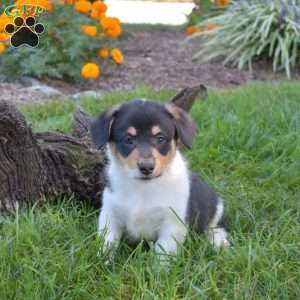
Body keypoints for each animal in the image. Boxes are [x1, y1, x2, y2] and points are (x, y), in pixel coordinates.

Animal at [90, 99, 229, 262]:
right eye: (128, 140)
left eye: (160, 139)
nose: (146, 167)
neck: (143, 187)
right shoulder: (110, 214)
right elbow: (107, 243)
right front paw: (103, 262)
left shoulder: (172, 223)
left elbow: (163, 253)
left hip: (217, 208)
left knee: (217, 227)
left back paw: (219, 243)